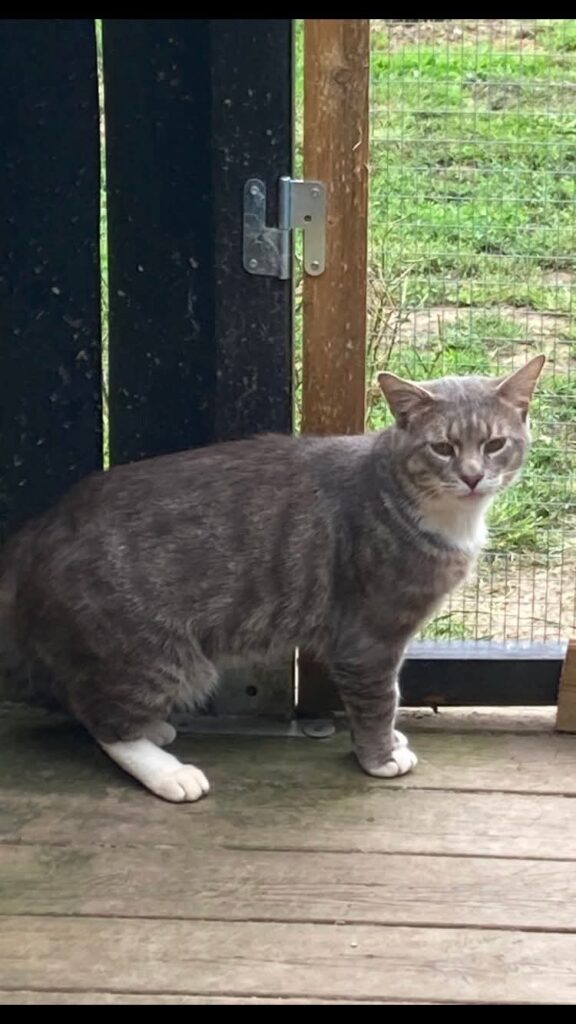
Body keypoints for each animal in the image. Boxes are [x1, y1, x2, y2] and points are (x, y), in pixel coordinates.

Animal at [0, 355, 545, 802]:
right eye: (442, 447)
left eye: (495, 444)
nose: (472, 476)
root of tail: (40, 528)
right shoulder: (368, 638)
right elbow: (379, 700)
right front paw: (381, 755)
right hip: (157, 654)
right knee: (102, 717)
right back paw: (167, 770)